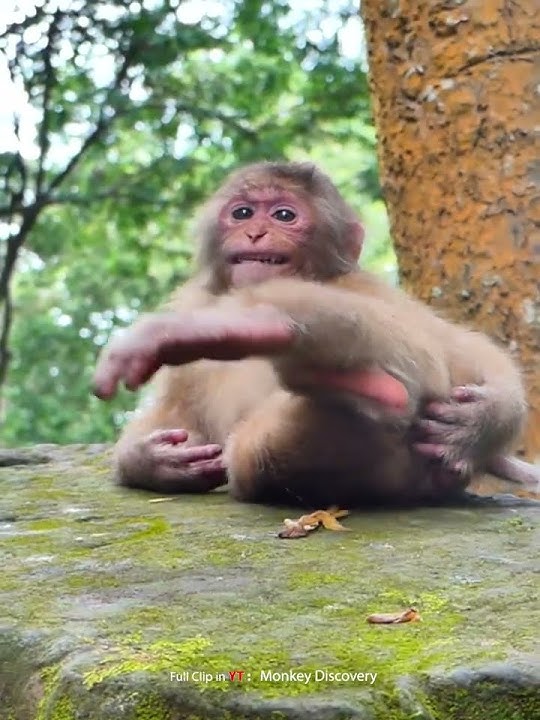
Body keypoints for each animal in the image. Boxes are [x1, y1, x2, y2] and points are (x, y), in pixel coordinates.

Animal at [93, 161, 539, 506]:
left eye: (284, 216)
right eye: (242, 213)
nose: (254, 233)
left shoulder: (360, 285)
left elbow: (448, 346)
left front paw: (484, 420)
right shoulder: (195, 301)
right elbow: (173, 413)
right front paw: (151, 460)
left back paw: (272, 328)